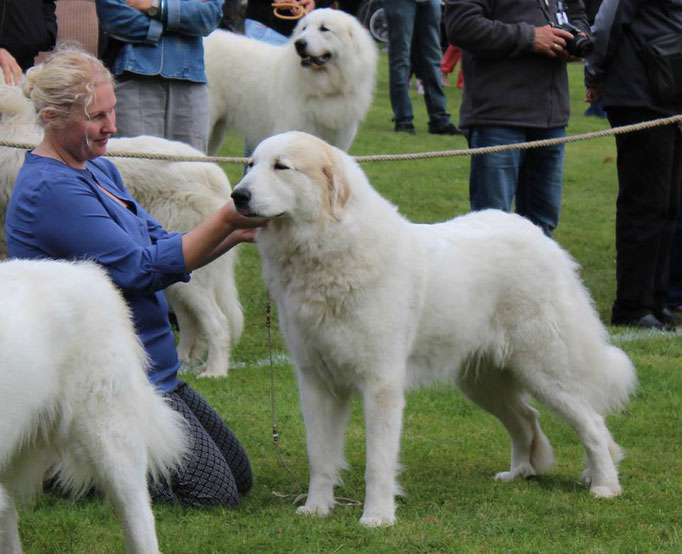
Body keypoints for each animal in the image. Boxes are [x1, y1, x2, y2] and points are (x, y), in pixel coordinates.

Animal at [0, 86, 243, 378]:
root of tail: (212, 169)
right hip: (174, 272)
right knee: (190, 321)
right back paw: (183, 360)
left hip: (189, 270)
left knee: (217, 322)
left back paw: (215, 370)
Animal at [231, 130, 640, 528]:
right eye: (250, 165)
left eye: (282, 167)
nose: (237, 195)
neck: (327, 248)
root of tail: (537, 233)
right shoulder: (316, 381)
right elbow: (319, 455)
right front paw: (317, 508)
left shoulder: (380, 383)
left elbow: (378, 461)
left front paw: (377, 517)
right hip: (482, 381)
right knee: (527, 419)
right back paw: (520, 472)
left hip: (544, 369)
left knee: (591, 423)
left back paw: (605, 486)